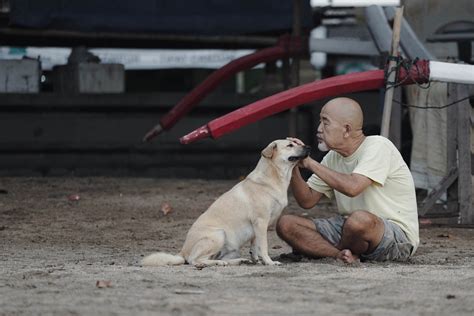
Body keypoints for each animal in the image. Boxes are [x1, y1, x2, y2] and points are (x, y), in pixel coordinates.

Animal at [142, 138, 312, 266]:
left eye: (295, 142)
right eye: (290, 145)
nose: (309, 146)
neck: (273, 177)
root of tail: (182, 251)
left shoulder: (257, 227)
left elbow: (255, 245)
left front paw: (256, 260)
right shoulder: (261, 222)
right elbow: (263, 246)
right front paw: (269, 262)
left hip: (230, 247)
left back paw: (238, 261)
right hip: (218, 234)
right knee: (194, 260)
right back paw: (215, 263)